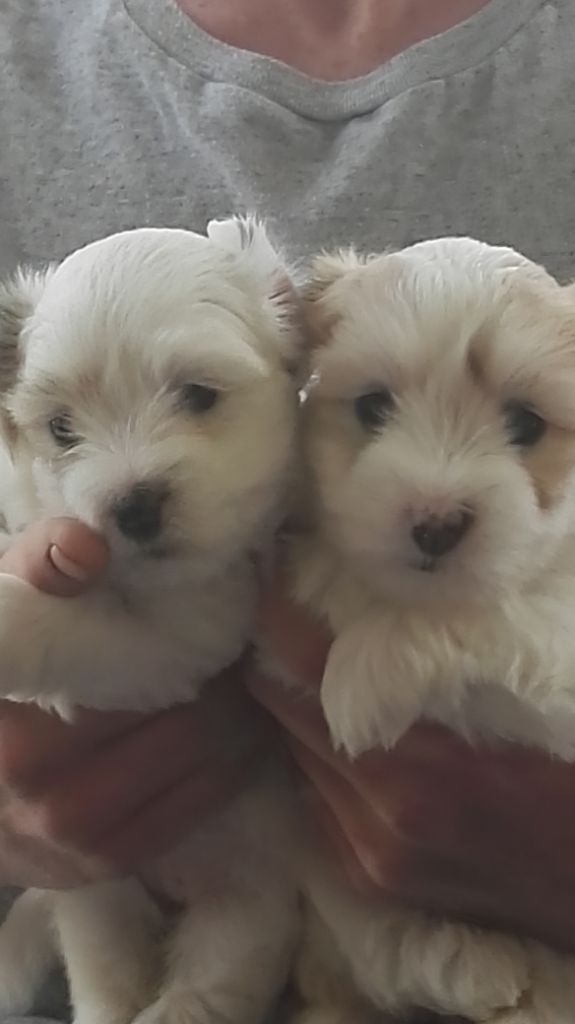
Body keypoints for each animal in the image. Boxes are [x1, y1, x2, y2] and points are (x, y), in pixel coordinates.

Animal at [0, 220, 304, 1024]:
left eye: (198, 395)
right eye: (61, 428)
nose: (130, 508)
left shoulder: (190, 639)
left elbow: (81, 628)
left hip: (249, 911)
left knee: (204, 987)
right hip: (97, 902)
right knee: (103, 979)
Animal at [288, 235, 575, 1019]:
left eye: (526, 424)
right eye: (373, 406)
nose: (435, 522)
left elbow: (495, 611)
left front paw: (360, 678)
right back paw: (480, 962)